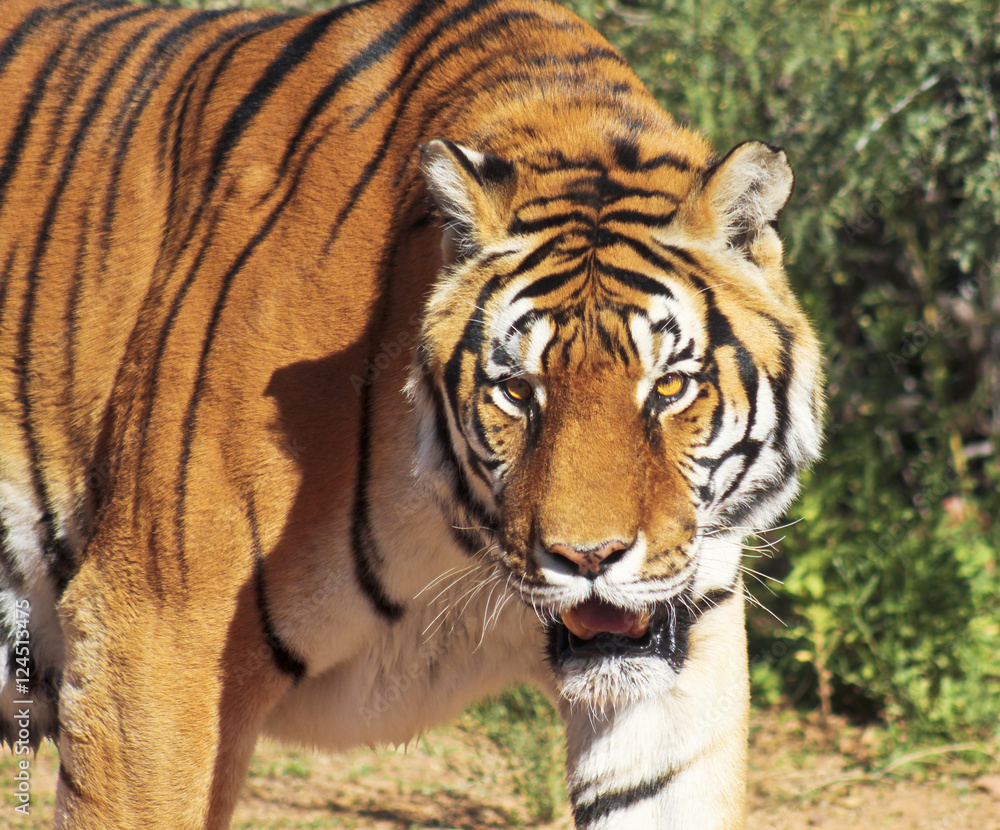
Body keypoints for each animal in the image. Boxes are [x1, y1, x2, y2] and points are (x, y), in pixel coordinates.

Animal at [0, 0, 825, 826]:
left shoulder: (681, 667)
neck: (458, 541)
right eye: (517, 392)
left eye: (670, 388)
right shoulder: (153, 638)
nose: (588, 560)